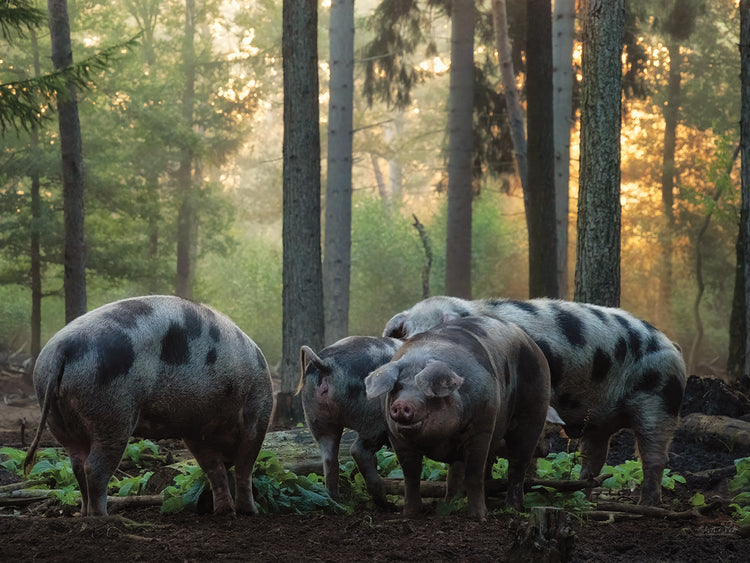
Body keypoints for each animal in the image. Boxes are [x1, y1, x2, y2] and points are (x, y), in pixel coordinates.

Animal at [24, 295, 274, 517]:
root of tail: (61, 349)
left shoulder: (195, 431)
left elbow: (215, 471)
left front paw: (225, 513)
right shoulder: (257, 413)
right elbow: (245, 466)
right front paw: (251, 512)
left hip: (58, 417)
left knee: (77, 463)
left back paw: (83, 514)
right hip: (112, 413)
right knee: (94, 468)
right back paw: (102, 518)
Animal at [297, 336, 402, 507]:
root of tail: (327, 364)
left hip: (316, 417)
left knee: (330, 459)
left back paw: (335, 502)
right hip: (374, 419)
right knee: (358, 451)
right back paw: (386, 504)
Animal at [365, 316, 551, 520]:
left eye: (426, 391)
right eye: (397, 387)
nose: (400, 405)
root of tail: (531, 342)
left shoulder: (482, 427)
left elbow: (474, 474)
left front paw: (479, 517)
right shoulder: (396, 438)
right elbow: (411, 475)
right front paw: (410, 514)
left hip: (534, 410)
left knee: (518, 464)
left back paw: (513, 509)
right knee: (457, 472)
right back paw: (450, 504)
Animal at [383, 296, 687, 505]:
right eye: (407, 333)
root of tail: (672, 344)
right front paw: (452, 501)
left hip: (659, 401)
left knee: (654, 456)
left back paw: (647, 504)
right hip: (600, 421)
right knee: (594, 457)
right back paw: (579, 497)